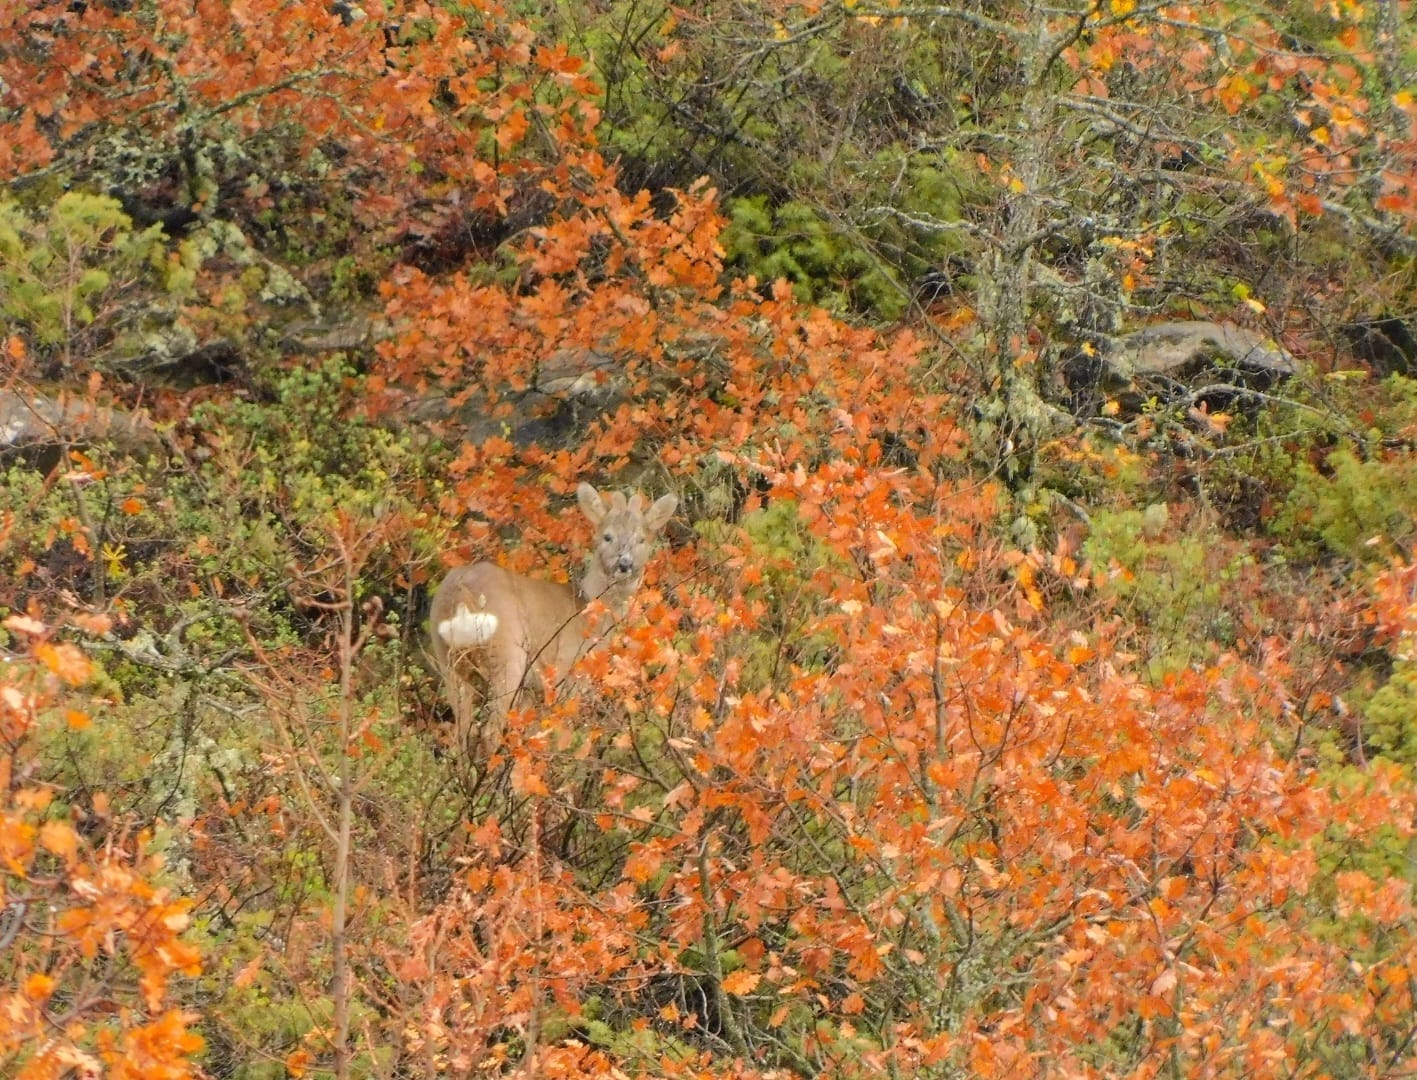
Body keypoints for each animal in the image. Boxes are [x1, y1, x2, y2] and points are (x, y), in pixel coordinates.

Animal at [427, 484, 677, 754]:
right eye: (607, 536)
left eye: (641, 539)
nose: (625, 564)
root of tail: (460, 593)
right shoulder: (565, 674)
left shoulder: (531, 691)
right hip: (507, 652)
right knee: (489, 731)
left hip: (447, 658)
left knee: (462, 732)